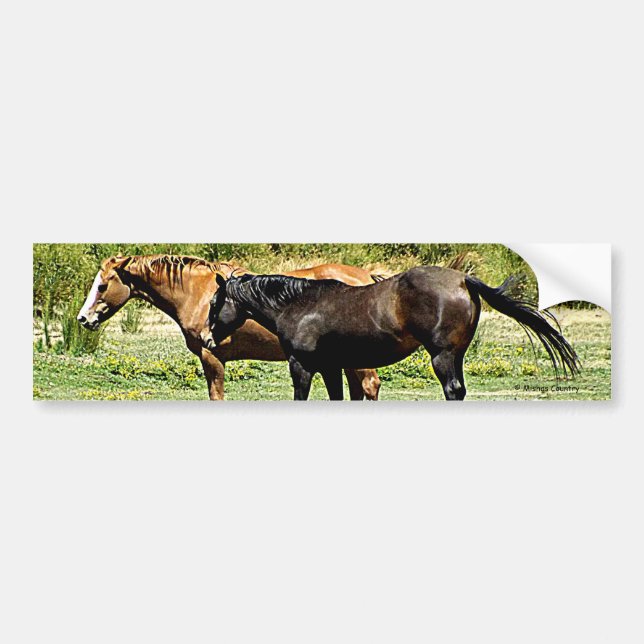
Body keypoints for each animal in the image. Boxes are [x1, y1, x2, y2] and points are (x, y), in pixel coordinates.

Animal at [76, 254, 383, 400]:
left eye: (102, 286)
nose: (83, 319)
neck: (198, 293)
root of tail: (368, 277)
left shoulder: (212, 357)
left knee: (369, 386)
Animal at [204, 267, 580, 400]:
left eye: (213, 302)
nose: (208, 340)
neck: (300, 306)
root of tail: (462, 279)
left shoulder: (303, 366)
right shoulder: (332, 368)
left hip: (442, 356)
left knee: (452, 391)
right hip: (456, 356)